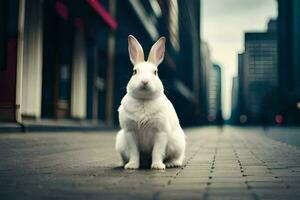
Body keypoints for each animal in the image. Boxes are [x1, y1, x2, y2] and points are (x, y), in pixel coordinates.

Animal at [115, 35, 184, 170]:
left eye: (155, 72)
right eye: (134, 71)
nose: (145, 81)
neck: (144, 100)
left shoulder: (161, 132)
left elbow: (157, 151)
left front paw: (157, 166)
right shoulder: (130, 132)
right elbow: (134, 152)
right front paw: (132, 166)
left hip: (178, 143)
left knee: (178, 156)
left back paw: (172, 163)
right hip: (120, 142)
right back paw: (123, 164)